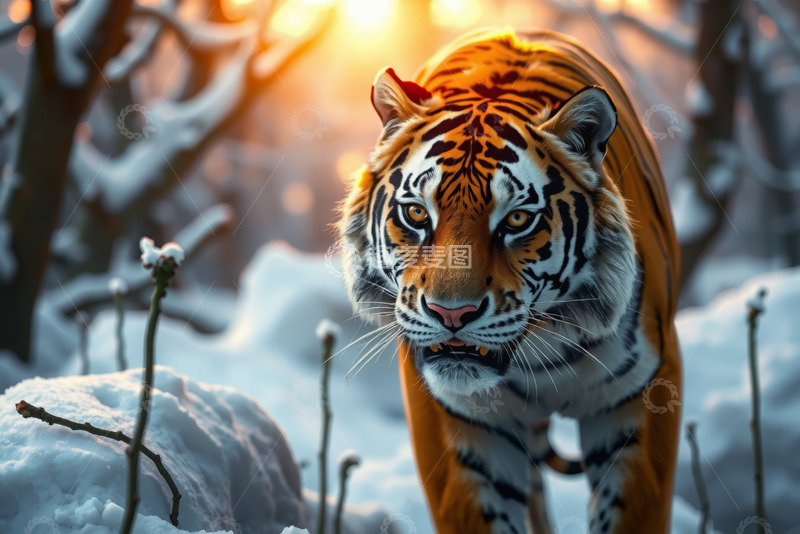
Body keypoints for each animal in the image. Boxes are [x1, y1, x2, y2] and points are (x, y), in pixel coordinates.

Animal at [337, 28, 681, 534]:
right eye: (417, 213)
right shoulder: (458, 422)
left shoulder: (641, 396)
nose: (451, 314)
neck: (539, 355)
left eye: (517, 219)